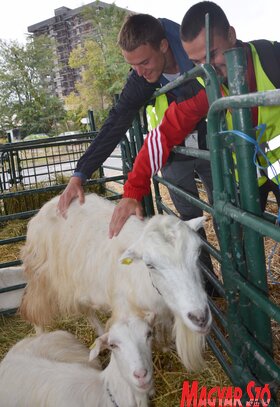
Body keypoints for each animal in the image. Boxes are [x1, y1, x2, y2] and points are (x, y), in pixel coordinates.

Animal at [20, 193, 212, 372]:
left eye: (198, 252)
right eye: (150, 264)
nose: (200, 318)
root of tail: (50, 203)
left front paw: (165, 347)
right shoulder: (126, 311)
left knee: (87, 310)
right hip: (41, 275)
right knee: (34, 308)